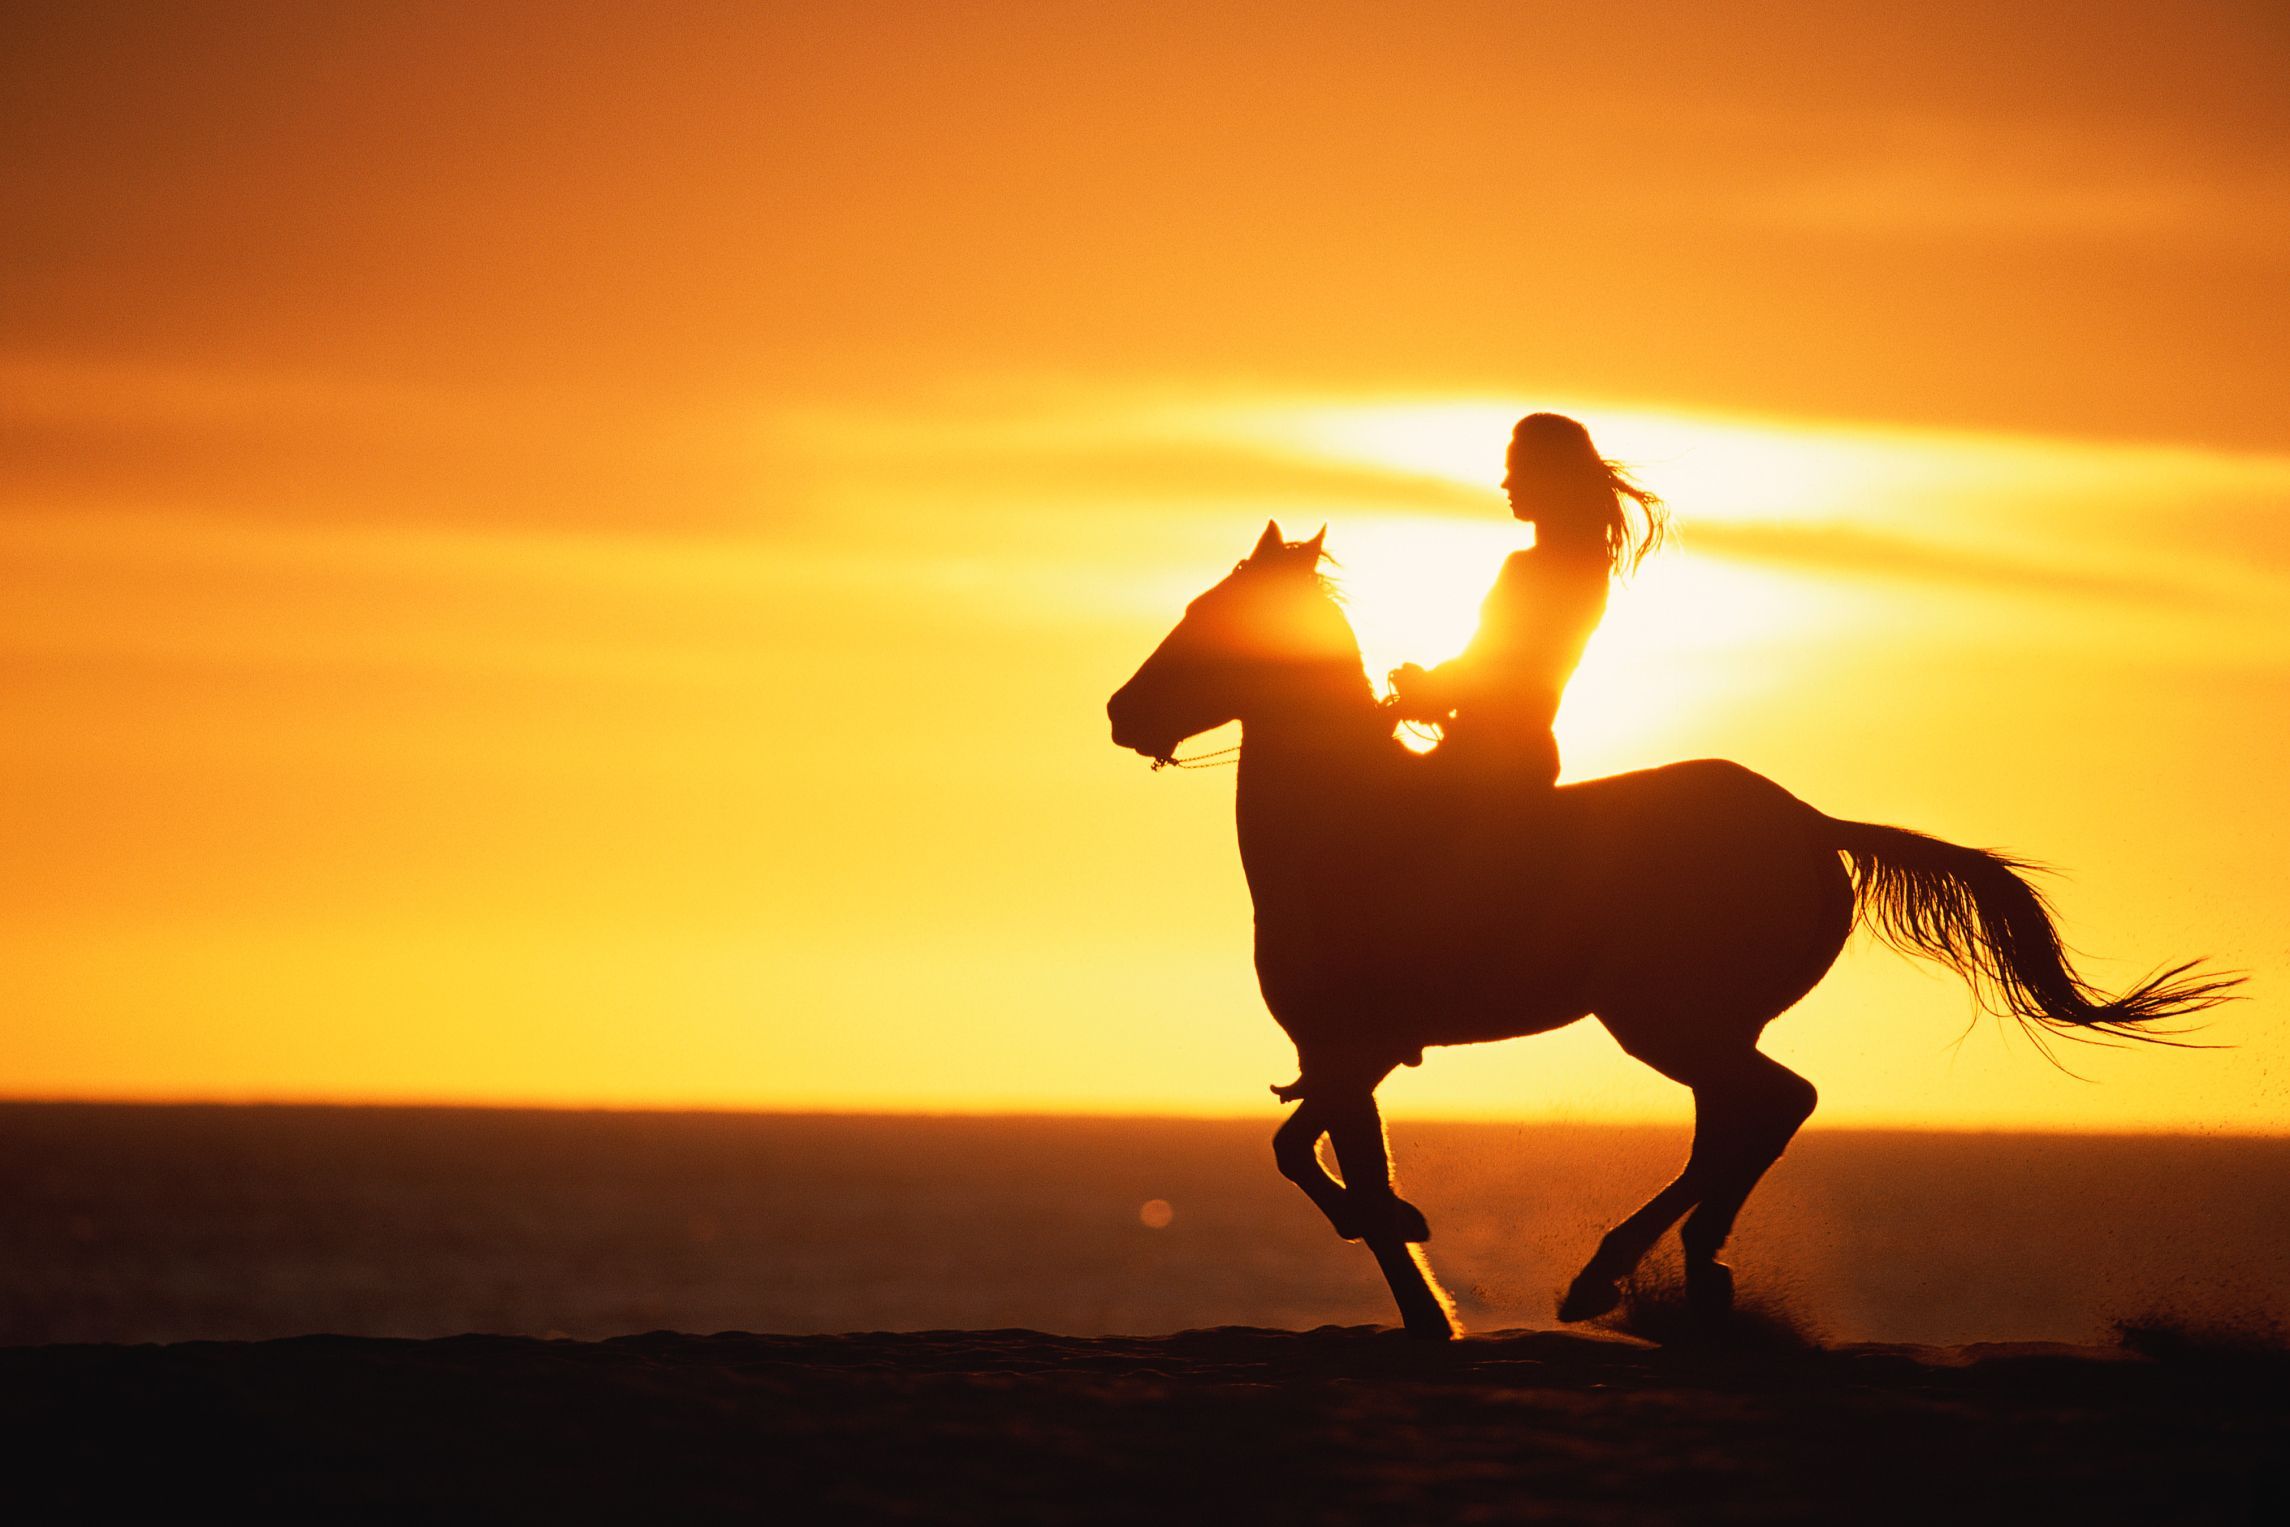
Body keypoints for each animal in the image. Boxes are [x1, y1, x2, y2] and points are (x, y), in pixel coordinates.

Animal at [1105, 520, 2238, 1340]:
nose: (1122, 714)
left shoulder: (1346, 1047)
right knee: (1741, 1119)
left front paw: (1421, 1290)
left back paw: (1614, 1274)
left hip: (1663, 1017)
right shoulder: (1353, 1050)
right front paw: (1405, 1247)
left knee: (1775, 1103)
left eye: (1213, 616)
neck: (1343, 824)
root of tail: (1810, 823)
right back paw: (1689, 1271)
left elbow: (1326, 1162)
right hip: (1704, 1023)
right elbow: (1296, 1147)